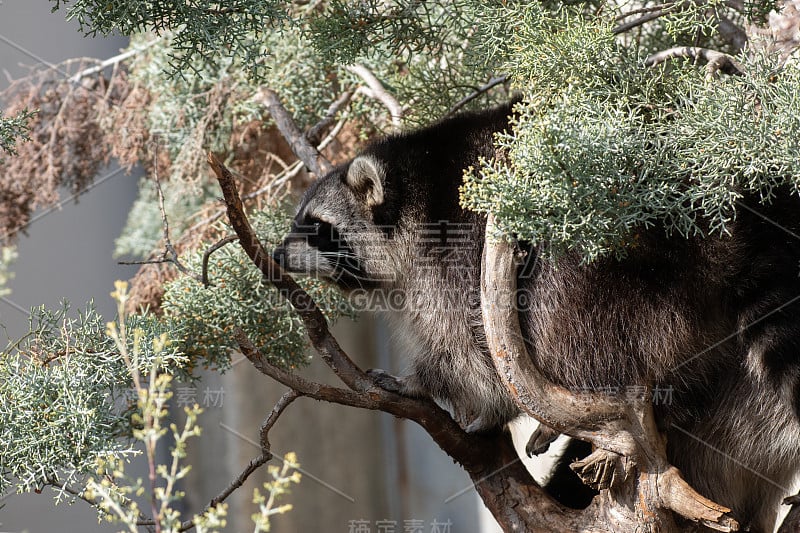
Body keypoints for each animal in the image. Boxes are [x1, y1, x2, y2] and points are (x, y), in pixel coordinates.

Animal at [274, 104, 800, 532]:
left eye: (316, 227)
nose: (277, 254)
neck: (414, 187)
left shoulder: (460, 249)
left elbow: (474, 352)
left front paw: (427, 384)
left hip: (626, 257)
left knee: (568, 311)